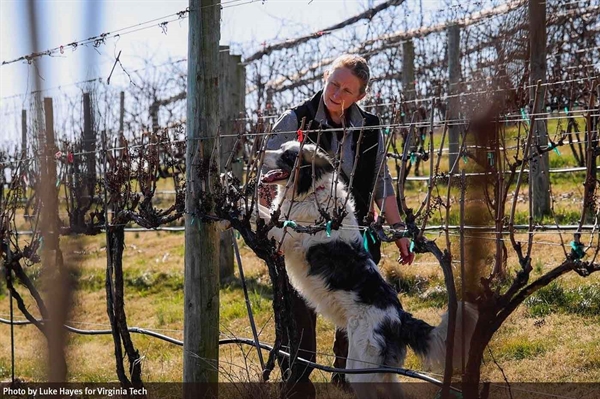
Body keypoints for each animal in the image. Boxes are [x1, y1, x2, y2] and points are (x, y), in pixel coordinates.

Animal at [260, 142, 476, 398]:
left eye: (287, 156)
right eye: (282, 147)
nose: (260, 152)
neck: (312, 192)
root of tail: (399, 318)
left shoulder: (289, 235)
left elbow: (259, 214)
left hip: (360, 367)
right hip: (383, 372)